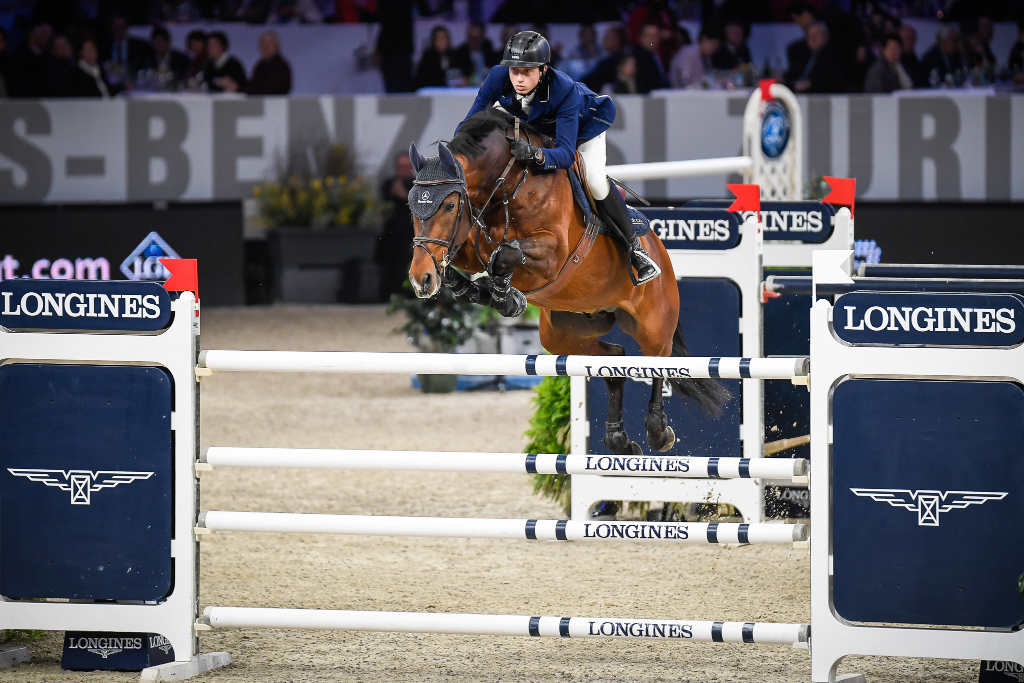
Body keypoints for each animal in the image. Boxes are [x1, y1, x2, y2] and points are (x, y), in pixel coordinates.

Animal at [401, 109, 729, 456]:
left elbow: (505, 254)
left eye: (449, 205)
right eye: (412, 206)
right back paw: (619, 440)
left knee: (659, 361)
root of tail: (660, 250)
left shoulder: (552, 253)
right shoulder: (470, 246)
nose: (420, 280)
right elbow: (466, 264)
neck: (508, 184)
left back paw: (658, 431)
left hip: (653, 322)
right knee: (614, 360)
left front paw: (506, 297)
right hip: (565, 335)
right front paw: (477, 290)